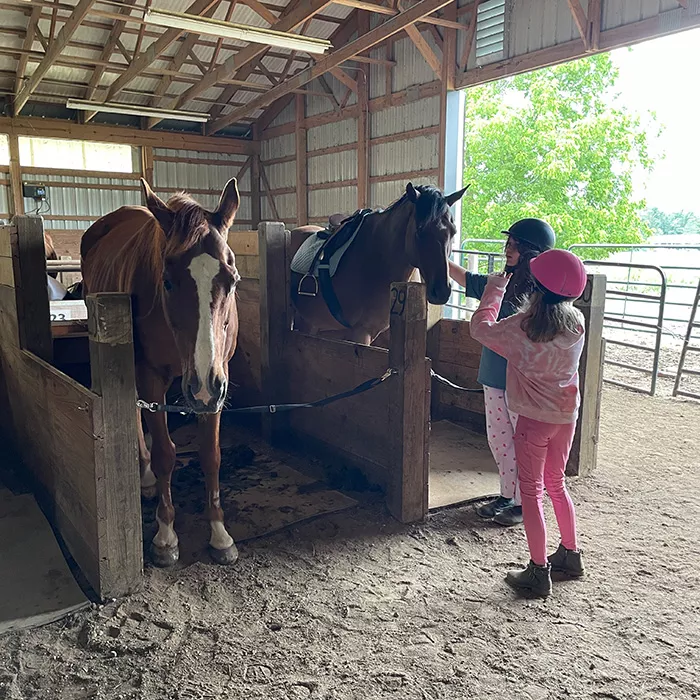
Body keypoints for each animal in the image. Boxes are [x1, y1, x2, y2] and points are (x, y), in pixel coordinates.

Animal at [80, 178, 241, 568]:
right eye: (167, 281)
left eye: (232, 280)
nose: (202, 386)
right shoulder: (153, 377)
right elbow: (166, 454)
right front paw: (165, 535)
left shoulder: (217, 382)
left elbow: (211, 454)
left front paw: (219, 533)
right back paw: (147, 477)